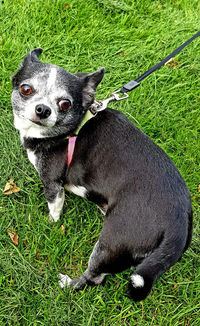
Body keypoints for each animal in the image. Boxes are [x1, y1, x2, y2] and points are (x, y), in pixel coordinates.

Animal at [10, 48, 192, 300]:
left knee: (93, 277)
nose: (43, 109)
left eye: (65, 103)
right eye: (26, 89)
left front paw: (50, 223)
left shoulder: (53, 183)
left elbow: (54, 208)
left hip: (111, 244)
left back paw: (68, 284)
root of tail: (179, 226)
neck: (71, 129)